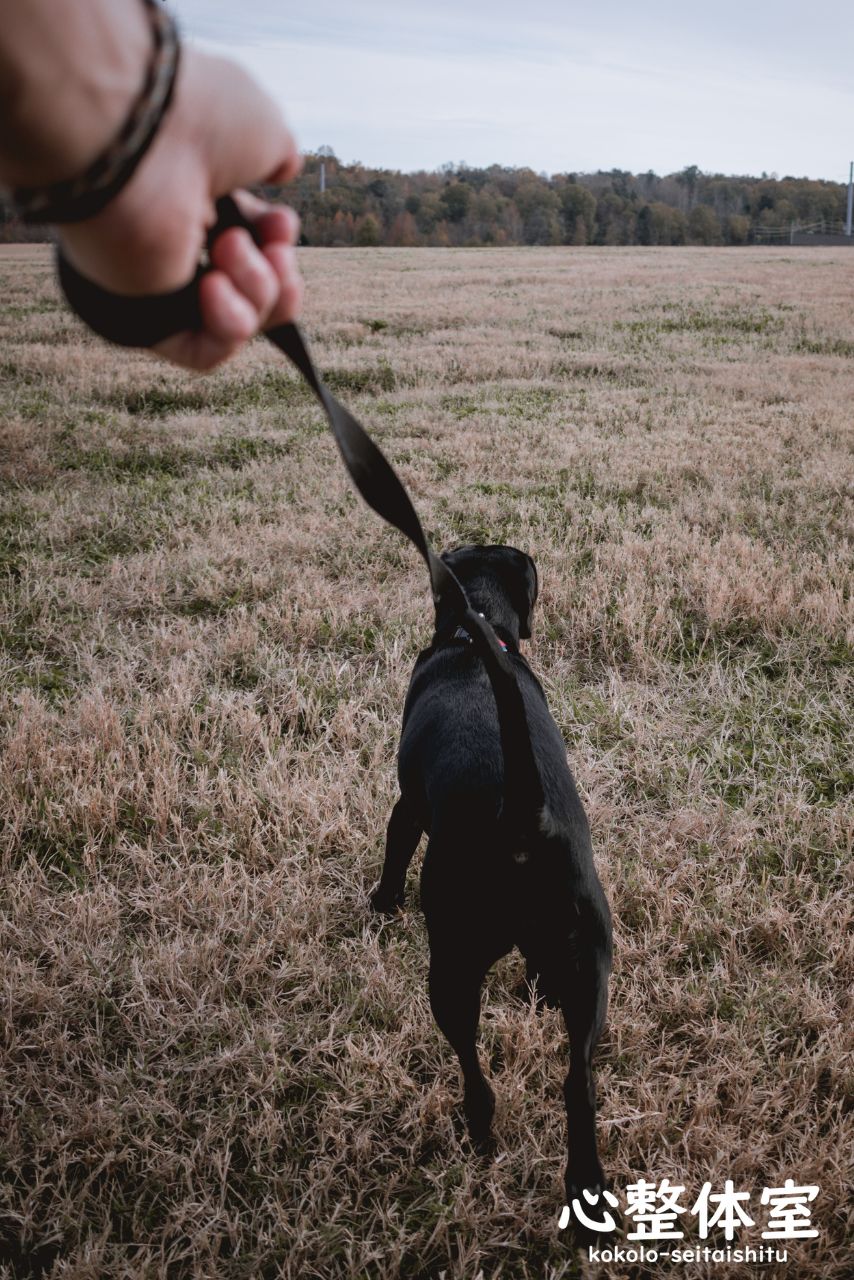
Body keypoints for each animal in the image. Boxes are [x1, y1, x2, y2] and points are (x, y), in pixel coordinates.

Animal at [371, 545, 612, 1203]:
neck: (474, 632)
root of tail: (524, 818)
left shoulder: (407, 806)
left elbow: (393, 850)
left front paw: (382, 903)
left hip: (452, 965)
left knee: (472, 1064)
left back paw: (477, 1126)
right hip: (591, 966)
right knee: (578, 1084)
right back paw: (586, 1185)